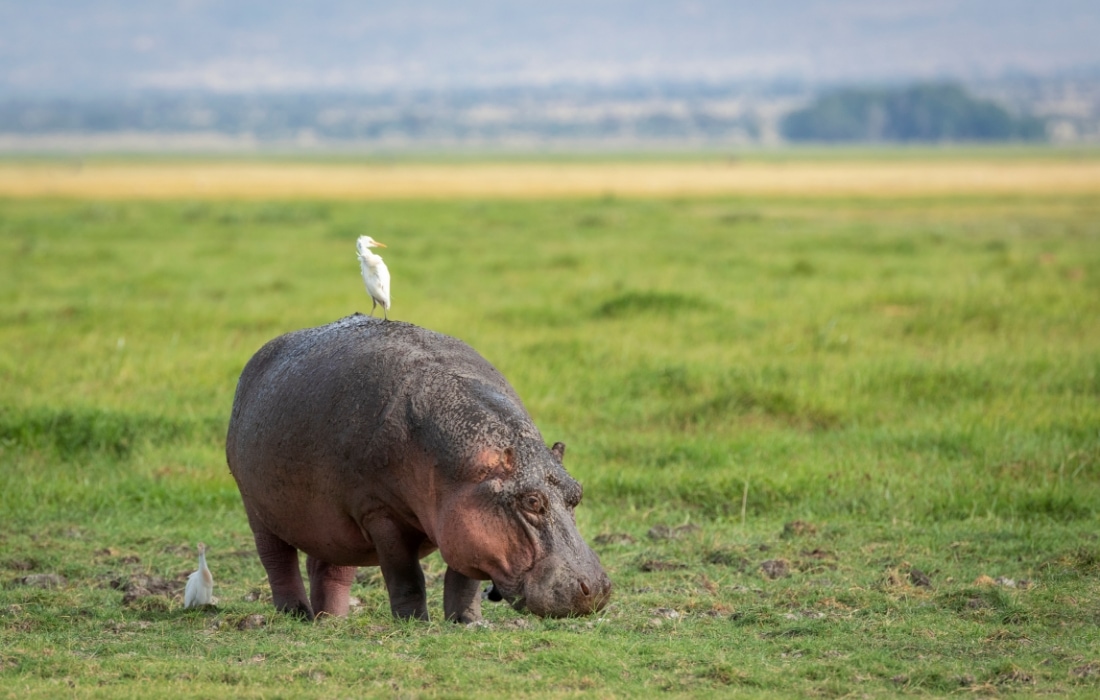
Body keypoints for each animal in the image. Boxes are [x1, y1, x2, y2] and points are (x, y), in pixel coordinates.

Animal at [226, 314, 611, 622]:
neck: (468, 467)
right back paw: (295, 614)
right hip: (256, 507)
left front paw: (467, 622)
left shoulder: (463, 522)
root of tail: (258, 357)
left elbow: (464, 581)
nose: (597, 588)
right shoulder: (380, 513)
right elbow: (406, 576)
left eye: (577, 492)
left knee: (330, 567)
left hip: (331, 520)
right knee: (277, 560)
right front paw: (413, 622)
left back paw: (331, 621)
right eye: (531, 501)